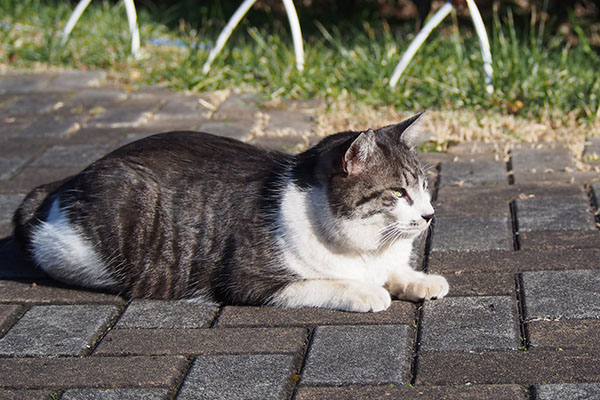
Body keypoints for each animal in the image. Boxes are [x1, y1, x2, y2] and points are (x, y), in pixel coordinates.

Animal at [12, 112, 450, 312]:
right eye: (398, 192)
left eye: (423, 187)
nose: (430, 215)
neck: (366, 247)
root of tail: (64, 182)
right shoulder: (249, 281)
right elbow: (328, 282)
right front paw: (365, 291)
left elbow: (397, 272)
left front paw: (420, 281)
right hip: (89, 246)